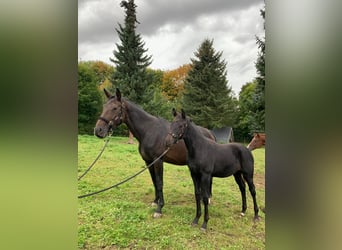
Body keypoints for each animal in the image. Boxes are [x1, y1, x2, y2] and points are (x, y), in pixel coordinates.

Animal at [93, 89, 216, 218]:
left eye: (115, 108)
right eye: (104, 106)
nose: (98, 130)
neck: (149, 131)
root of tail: (210, 133)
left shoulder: (158, 161)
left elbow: (160, 182)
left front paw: (159, 209)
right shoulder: (148, 161)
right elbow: (154, 181)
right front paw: (155, 201)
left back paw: (207, 199)